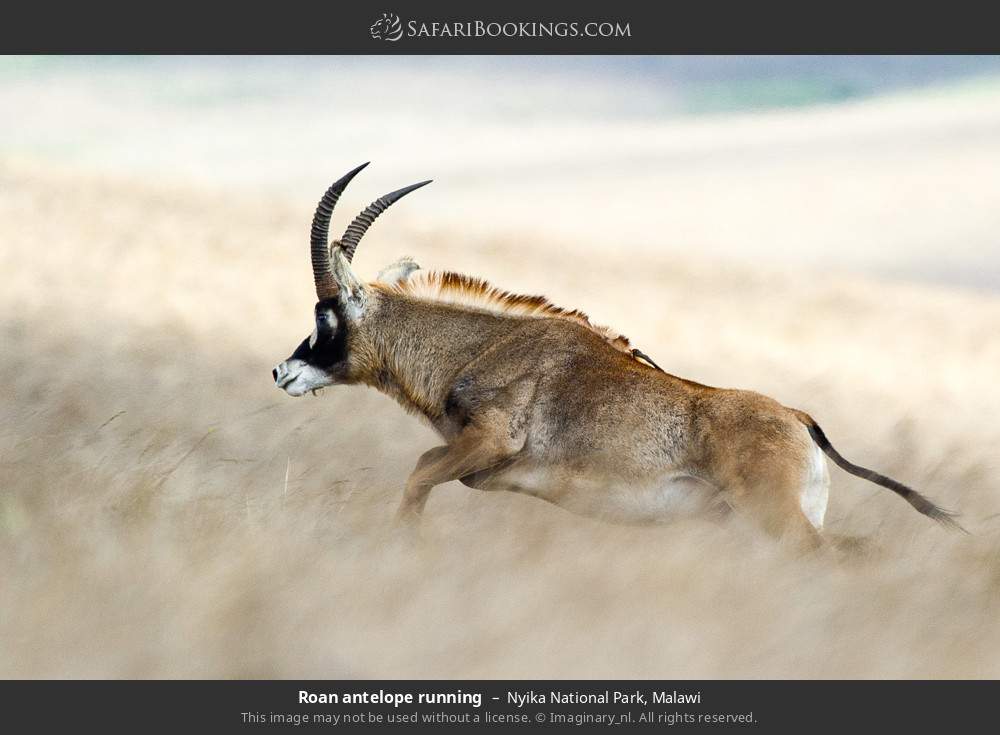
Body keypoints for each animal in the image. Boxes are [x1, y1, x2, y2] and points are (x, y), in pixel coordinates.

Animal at [272, 164, 963, 547]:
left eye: (325, 316)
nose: (282, 371)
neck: (482, 349)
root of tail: (800, 420)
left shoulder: (488, 446)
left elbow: (418, 473)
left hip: (777, 518)